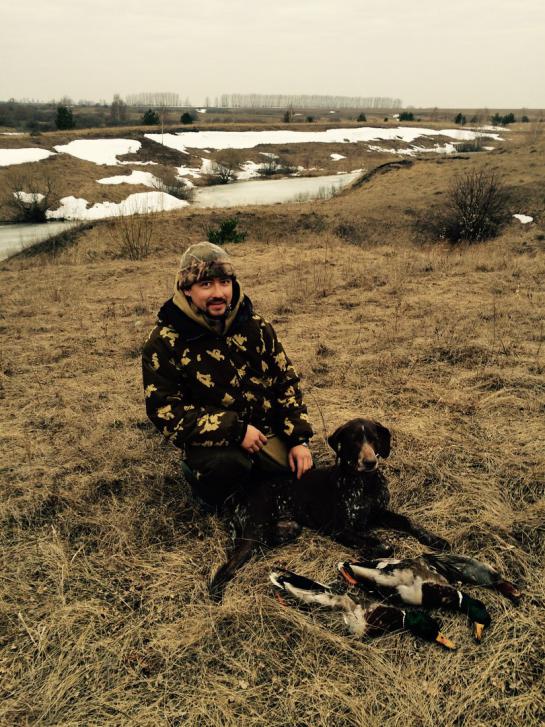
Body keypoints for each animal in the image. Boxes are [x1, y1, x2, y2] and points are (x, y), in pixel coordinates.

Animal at [209, 417, 450, 601]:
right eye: (354, 441)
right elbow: (379, 543)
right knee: (227, 567)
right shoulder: (339, 529)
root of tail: (241, 493)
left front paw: (435, 539)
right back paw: (216, 594)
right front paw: (375, 550)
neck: (365, 483)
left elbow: (409, 522)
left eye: (374, 439)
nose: (370, 462)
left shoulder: (379, 514)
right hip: (254, 533)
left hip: (289, 528)